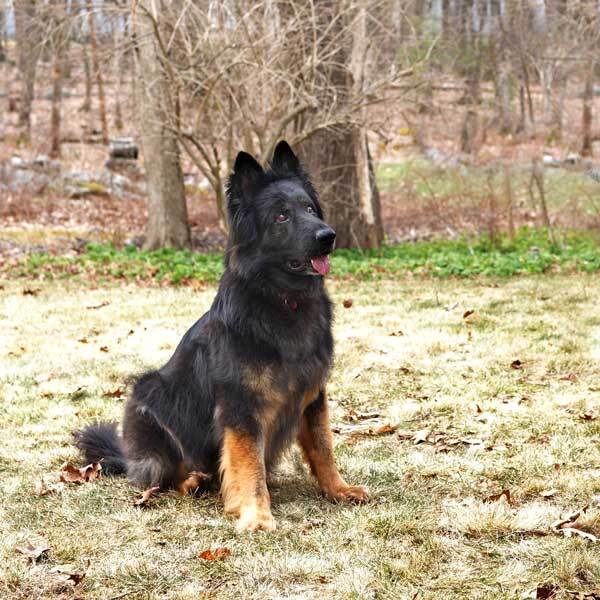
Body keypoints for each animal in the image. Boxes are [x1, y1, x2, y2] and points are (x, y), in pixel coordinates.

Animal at [73, 141, 368, 528]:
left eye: (308, 208)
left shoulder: (312, 397)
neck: (281, 303)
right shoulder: (240, 408)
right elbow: (248, 465)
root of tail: (126, 455)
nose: (327, 236)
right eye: (281, 217)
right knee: (164, 475)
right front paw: (256, 515)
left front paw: (338, 489)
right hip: (151, 399)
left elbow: (323, 448)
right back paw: (193, 480)